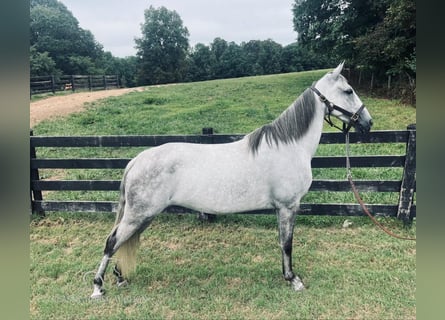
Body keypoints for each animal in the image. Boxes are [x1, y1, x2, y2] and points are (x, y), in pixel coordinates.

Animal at [90, 62, 372, 298]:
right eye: (348, 90)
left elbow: (283, 242)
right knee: (112, 242)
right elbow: (287, 243)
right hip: (138, 214)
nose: (368, 122)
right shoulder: (288, 206)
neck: (289, 146)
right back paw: (98, 287)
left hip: (144, 216)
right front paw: (293, 279)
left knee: (122, 242)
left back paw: (119, 278)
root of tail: (136, 160)